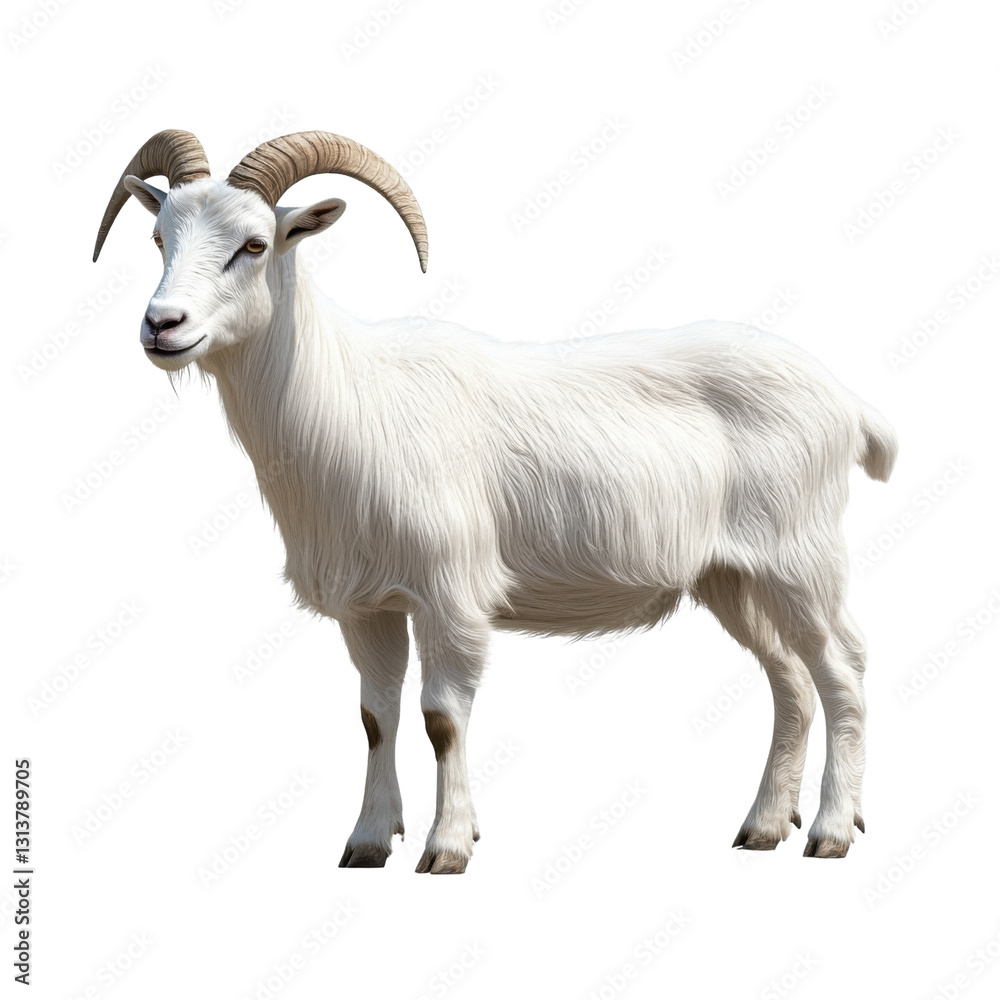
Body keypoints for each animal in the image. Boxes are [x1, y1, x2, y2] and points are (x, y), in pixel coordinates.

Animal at [93, 129, 897, 872]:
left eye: (255, 244)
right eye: (160, 238)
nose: (161, 325)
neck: (353, 399)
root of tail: (848, 402)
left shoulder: (451, 594)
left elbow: (441, 718)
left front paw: (447, 847)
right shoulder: (368, 604)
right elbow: (376, 717)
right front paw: (367, 841)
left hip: (800, 557)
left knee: (843, 671)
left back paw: (830, 832)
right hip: (734, 576)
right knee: (790, 680)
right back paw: (763, 826)